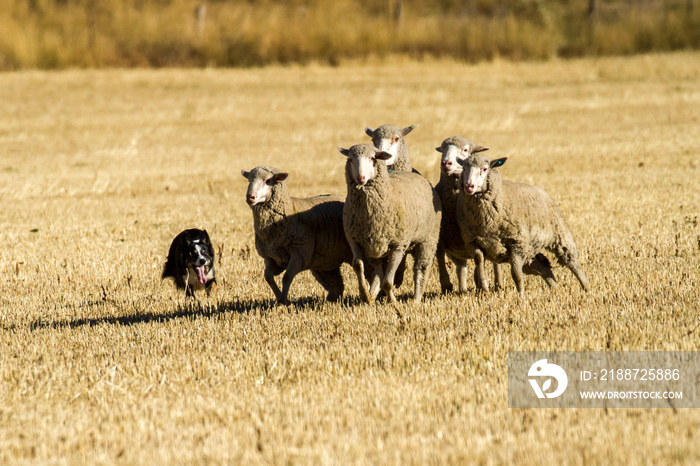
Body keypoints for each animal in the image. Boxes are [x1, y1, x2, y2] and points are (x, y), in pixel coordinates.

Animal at [241, 166, 352, 304]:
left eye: (268, 180)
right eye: (249, 180)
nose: (250, 197)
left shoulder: (299, 255)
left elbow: (287, 277)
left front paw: (283, 301)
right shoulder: (271, 257)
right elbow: (268, 277)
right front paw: (279, 297)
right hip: (326, 260)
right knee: (336, 285)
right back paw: (331, 301)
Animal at [336, 144, 440, 304]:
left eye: (372, 158)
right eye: (351, 159)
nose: (361, 178)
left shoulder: (398, 245)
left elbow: (387, 282)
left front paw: (393, 302)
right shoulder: (354, 240)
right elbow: (358, 265)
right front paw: (364, 295)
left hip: (428, 239)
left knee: (421, 269)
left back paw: (416, 300)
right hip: (374, 245)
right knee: (378, 271)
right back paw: (372, 295)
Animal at [432, 137, 504, 294]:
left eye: (465, 150)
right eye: (442, 148)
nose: (446, 163)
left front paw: (480, 283)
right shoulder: (441, 235)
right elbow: (440, 256)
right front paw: (446, 285)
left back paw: (498, 283)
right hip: (457, 251)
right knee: (462, 268)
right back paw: (463, 289)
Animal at [456, 153, 588, 292]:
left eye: (485, 169)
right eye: (463, 168)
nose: (468, 186)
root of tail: (543, 192)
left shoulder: (517, 244)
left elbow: (516, 273)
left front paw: (521, 294)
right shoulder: (473, 241)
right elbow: (479, 261)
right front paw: (484, 288)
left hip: (560, 235)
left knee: (573, 263)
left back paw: (586, 288)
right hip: (530, 250)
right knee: (545, 269)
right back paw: (555, 290)